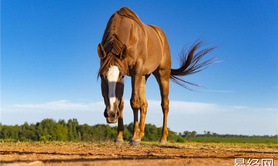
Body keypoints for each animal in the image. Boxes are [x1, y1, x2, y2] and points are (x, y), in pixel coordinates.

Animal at [96, 6, 216, 145]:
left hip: (162, 75)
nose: (111, 114)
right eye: (102, 76)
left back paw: (162, 138)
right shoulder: (130, 72)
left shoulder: (135, 71)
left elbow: (134, 102)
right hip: (144, 76)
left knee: (165, 105)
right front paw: (120, 137)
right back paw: (140, 134)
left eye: (120, 76)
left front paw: (134, 138)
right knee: (144, 104)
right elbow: (122, 103)